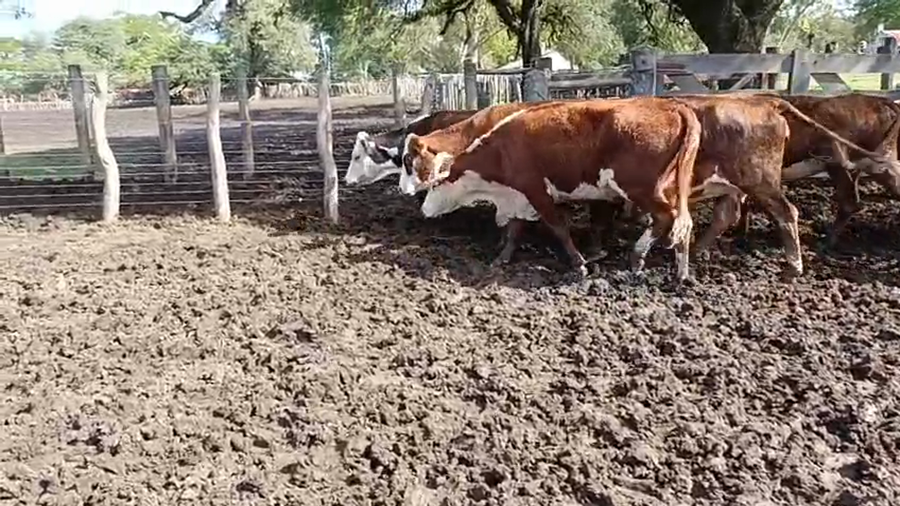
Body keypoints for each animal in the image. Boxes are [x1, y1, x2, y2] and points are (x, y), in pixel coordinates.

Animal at [408, 98, 701, 282]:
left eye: (435, 184)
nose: (423, 210)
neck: (502, 150)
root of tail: (672, 106)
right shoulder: (520, 194)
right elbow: (515, 229)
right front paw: (501, 259)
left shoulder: (536, 190)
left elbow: (558, 227)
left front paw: (580, 264)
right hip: (670, 188)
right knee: (683, 224)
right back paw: (681, 273)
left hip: (641, 188)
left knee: (666, 218)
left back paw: (638, 257)